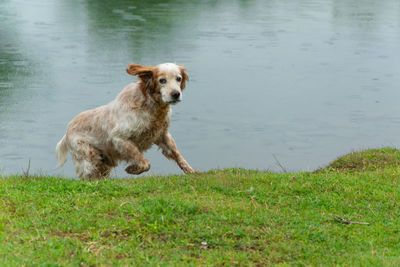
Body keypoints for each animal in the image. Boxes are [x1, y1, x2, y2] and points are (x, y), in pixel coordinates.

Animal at [55, 62, 195, 180]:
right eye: (162, 80)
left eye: (178, 78)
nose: (176, 94)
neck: (150, 105)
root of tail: (67, 132)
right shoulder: (119, 138)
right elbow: (144, 163)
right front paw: (132, 169)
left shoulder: (163, 135)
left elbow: (178, 155)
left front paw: (192, 172)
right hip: (89, 158)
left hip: (102, 163)